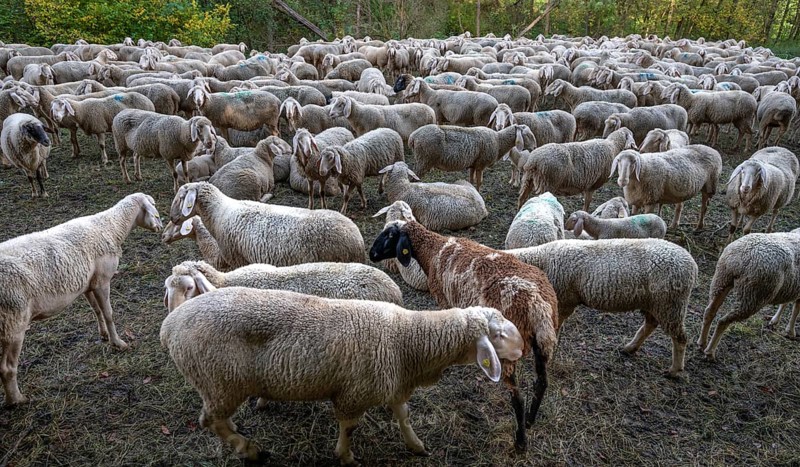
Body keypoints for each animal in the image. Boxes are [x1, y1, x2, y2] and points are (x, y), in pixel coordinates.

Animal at [0, 193, 162, 405]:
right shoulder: (102, 280)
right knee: (7, 368)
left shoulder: (88, 284)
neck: (111, 226)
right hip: (14, 321)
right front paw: (118, 343)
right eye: (153, 209)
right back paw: (17, 399)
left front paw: (104, 334)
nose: (161, 227)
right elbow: (108, 313)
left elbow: (97, 310)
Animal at [161, 287, 523, 463]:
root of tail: (170, 326)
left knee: (218, 419)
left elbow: (403, 415)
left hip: (218, 384)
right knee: (210, 420)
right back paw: (248, 449)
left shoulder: (392, 383)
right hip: (221, 379)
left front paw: (416, 445)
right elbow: (349, 428)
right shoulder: (354, 394)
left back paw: (237, 431)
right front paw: (346, 457)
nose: (522, 350)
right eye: (497, 335)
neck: (407, 340)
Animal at [369, 219, 559, 452]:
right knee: (541, 383)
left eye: (389, 235)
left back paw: (520, 441)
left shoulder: (444, 299)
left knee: (518, 397)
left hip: (512, 346)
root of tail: (537, 304)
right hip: (544, 342)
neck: (432, 250)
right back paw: (531, 420)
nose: (371, 254)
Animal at [507, 238, 697, 377]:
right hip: (655, 303)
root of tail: (692, 265)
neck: (541, 260)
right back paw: (630, 348)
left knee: (680, 337)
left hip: (670, 304)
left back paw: (675, 370)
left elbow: (553, 328)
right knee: (650, 324)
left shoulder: (563, 300)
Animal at [699, 230, 800, 360]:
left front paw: (775, 321)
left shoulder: (792, 287)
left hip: (721, 279)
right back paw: (710, 352)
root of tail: (740, 258)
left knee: (709, 311)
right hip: (752, 295)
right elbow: (796, 310)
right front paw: (791, 331)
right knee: (723, 321)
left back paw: (702, 343)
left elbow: (786, 303)